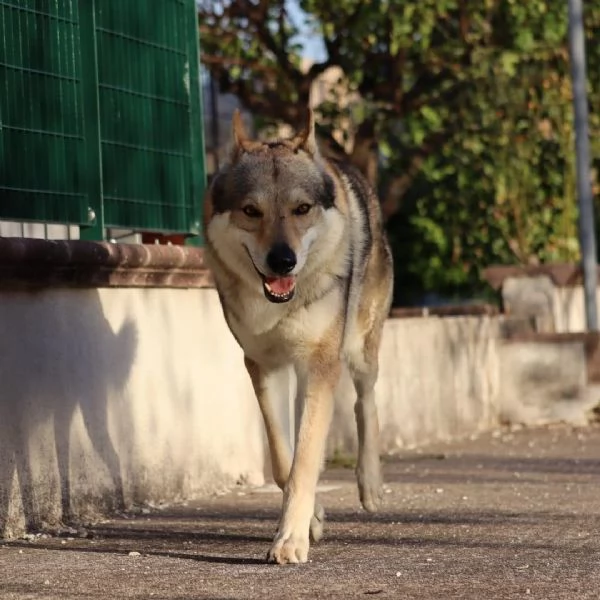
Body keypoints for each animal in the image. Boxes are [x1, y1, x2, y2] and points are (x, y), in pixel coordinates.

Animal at [204, 106, 394, 564]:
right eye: (251, 211)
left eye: (302, 208)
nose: (283, 261)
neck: (280, 305)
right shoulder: (263, 365)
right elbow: (282, 460)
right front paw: (312, 518)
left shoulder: (320, 363)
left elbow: (305, 462)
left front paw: (291, 539)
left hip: (357, 350)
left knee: (365, 401)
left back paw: (371, 485)